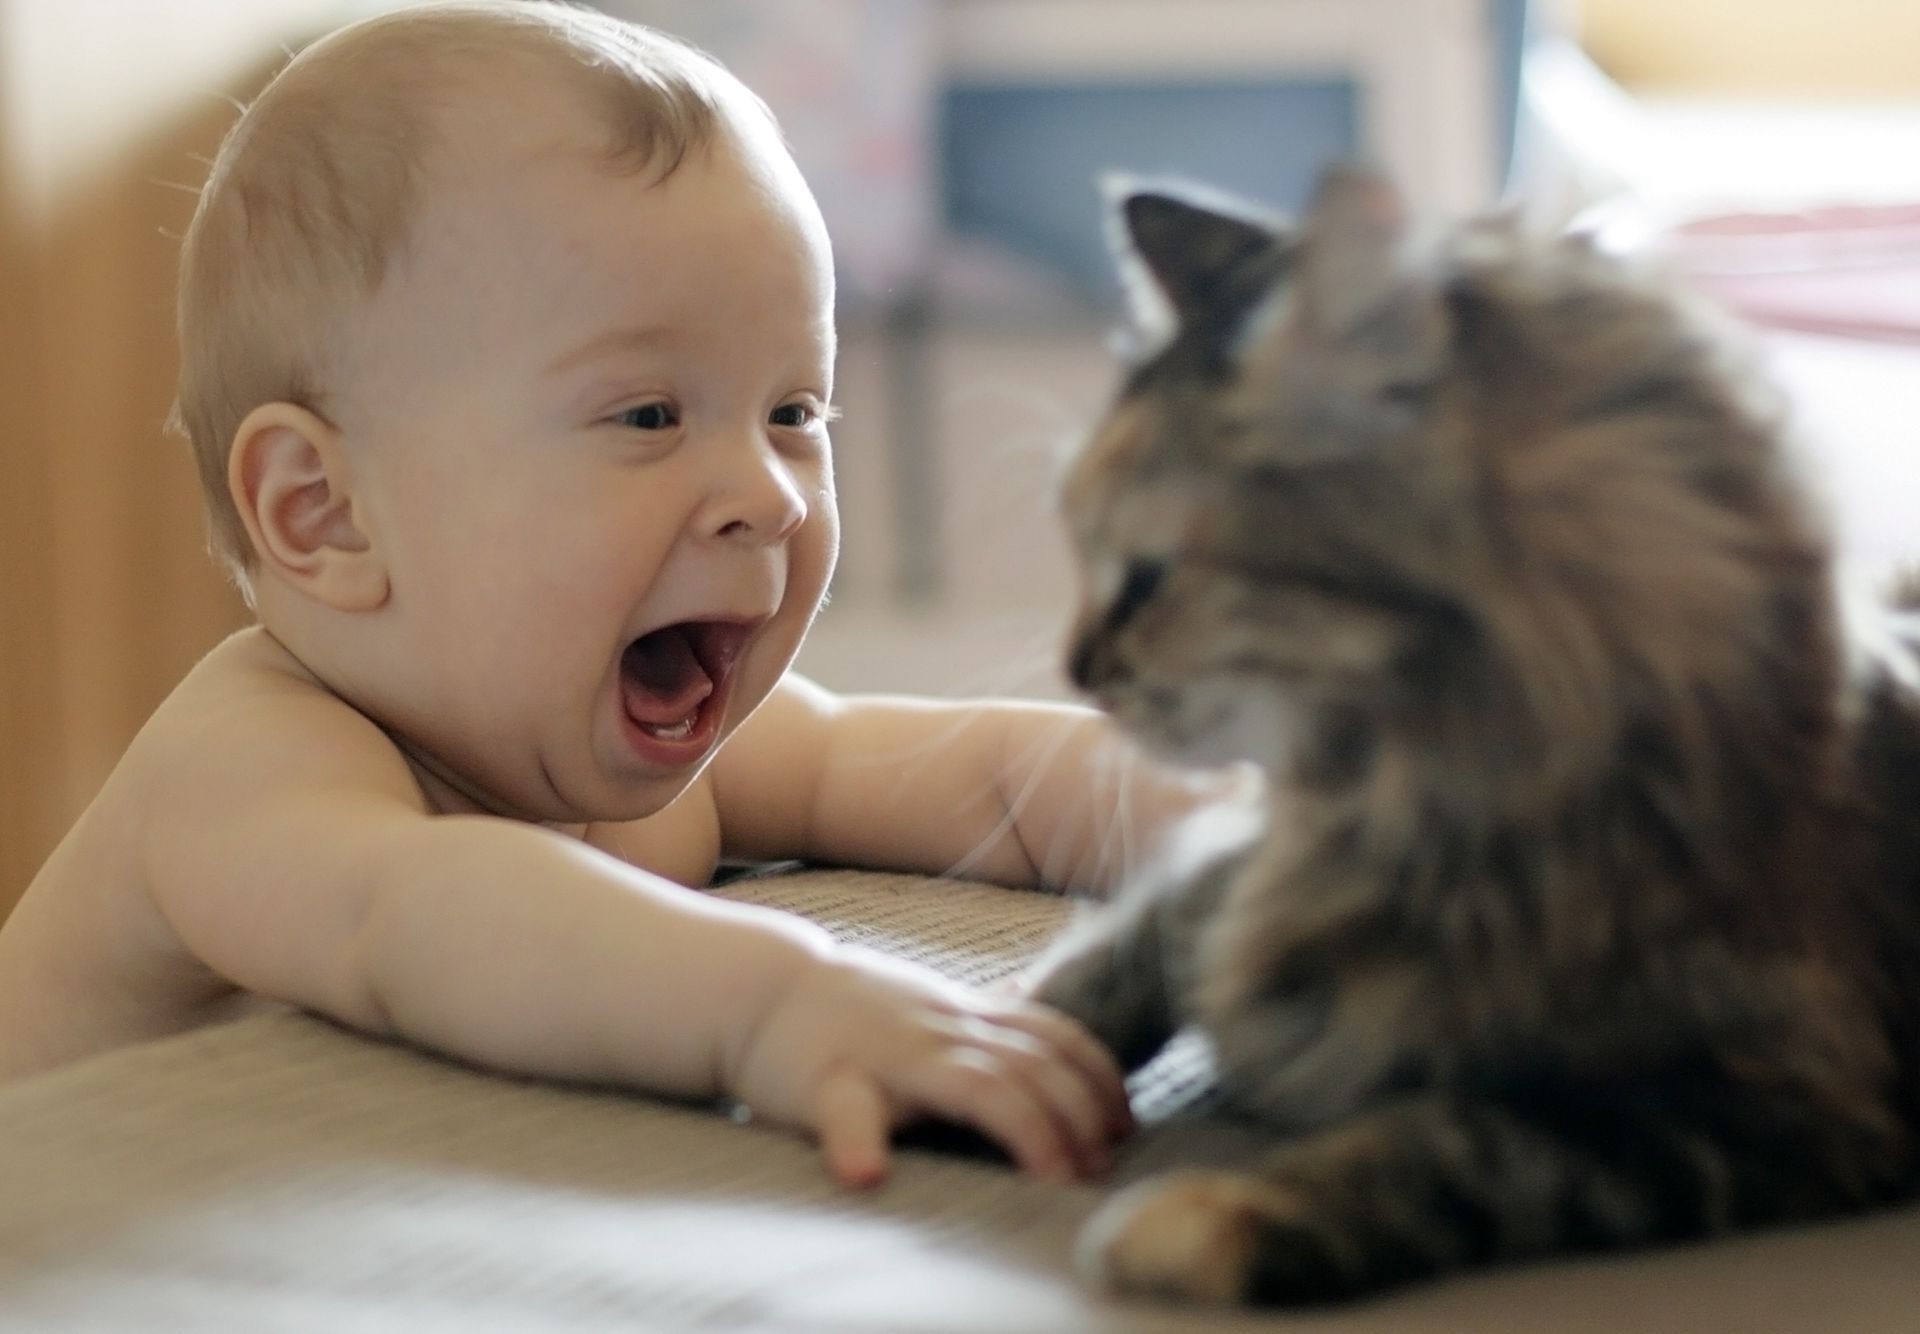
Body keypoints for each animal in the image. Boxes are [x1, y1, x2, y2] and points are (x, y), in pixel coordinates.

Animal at [1029, 164, 1920, 1305]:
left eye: (1145, 577)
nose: (1076, 671)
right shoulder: (1233, 866)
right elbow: (1128, 945)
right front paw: (998, 1044)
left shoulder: (1774, 1099)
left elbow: (1450, 1140)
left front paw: (1218, 1213)